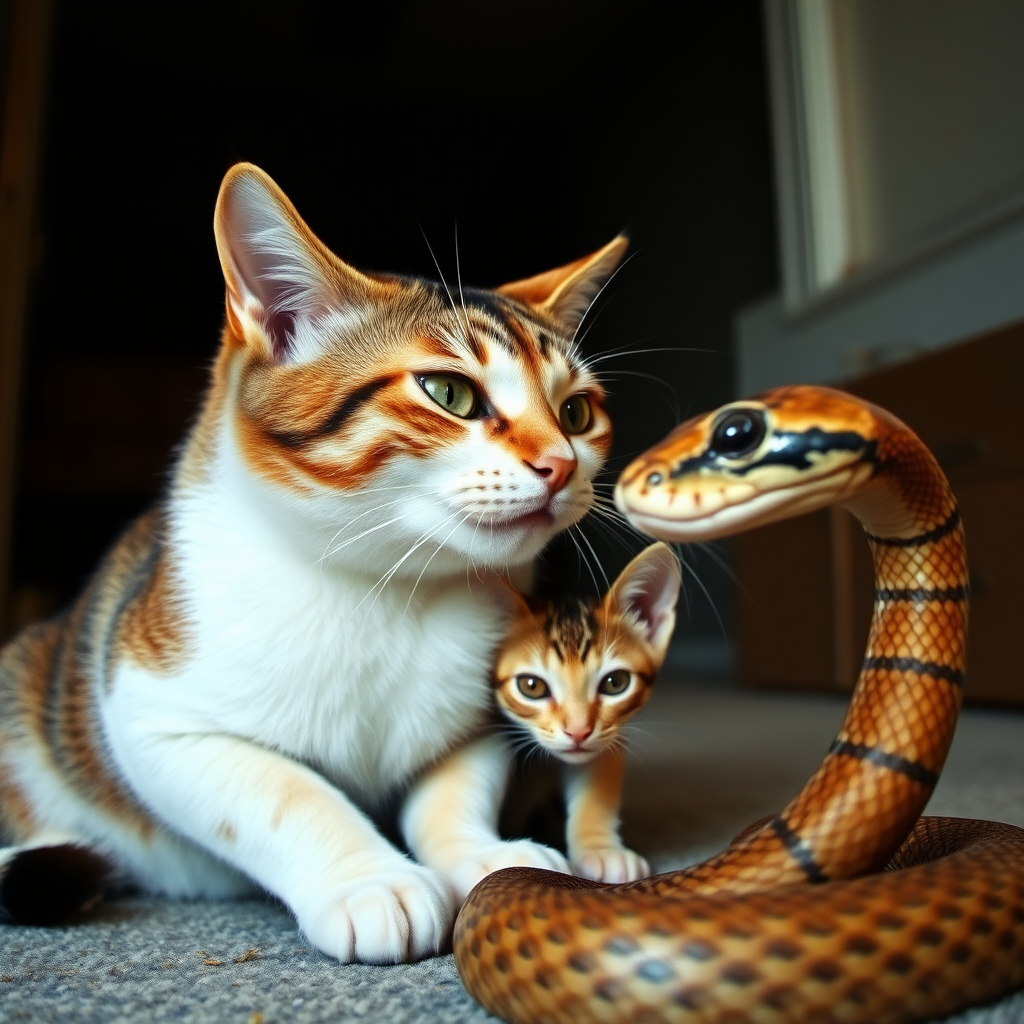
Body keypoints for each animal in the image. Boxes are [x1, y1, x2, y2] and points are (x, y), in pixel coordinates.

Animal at [0, 163, 622, 962]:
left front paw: (481, 853)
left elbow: (451, 794)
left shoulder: (483, 717)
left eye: (577, 413)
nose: (561, 465)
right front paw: (370, 879)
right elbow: (287, 792)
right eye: (449, 392)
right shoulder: (153, 713)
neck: (388, 589)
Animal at [489, 544, 679, 888]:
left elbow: (598, 782)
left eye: (615, 682)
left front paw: (601, 849)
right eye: (531, 686)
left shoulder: (609, 736)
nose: (578, 731)